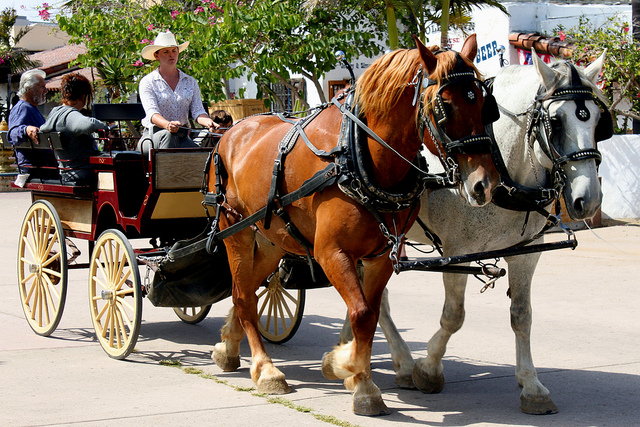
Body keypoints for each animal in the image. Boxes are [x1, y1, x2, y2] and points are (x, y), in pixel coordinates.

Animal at [209, 35, 500, 416]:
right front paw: (351, 374)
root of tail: (231, 131)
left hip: (272, 239)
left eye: (483, 103)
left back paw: (228, 347)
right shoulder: (331, 252)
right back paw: (265, 368)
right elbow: (361, 313)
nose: (485, 184)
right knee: (244, 295)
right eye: (445, 107)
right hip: (237, 232)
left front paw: (353, 373)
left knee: (245, 290)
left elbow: (371, 316)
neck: (359, 158)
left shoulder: (380, 255)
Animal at [342, 50, 608, 414]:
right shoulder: (458, 252)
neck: (503, 170)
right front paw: (429, 369)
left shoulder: (527, 253)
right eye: (555, 121)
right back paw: (400, 363)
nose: (588, 200)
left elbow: (522, 316)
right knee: (375, 301)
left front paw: (532, 386)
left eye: (596, 120)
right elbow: (454, 316)